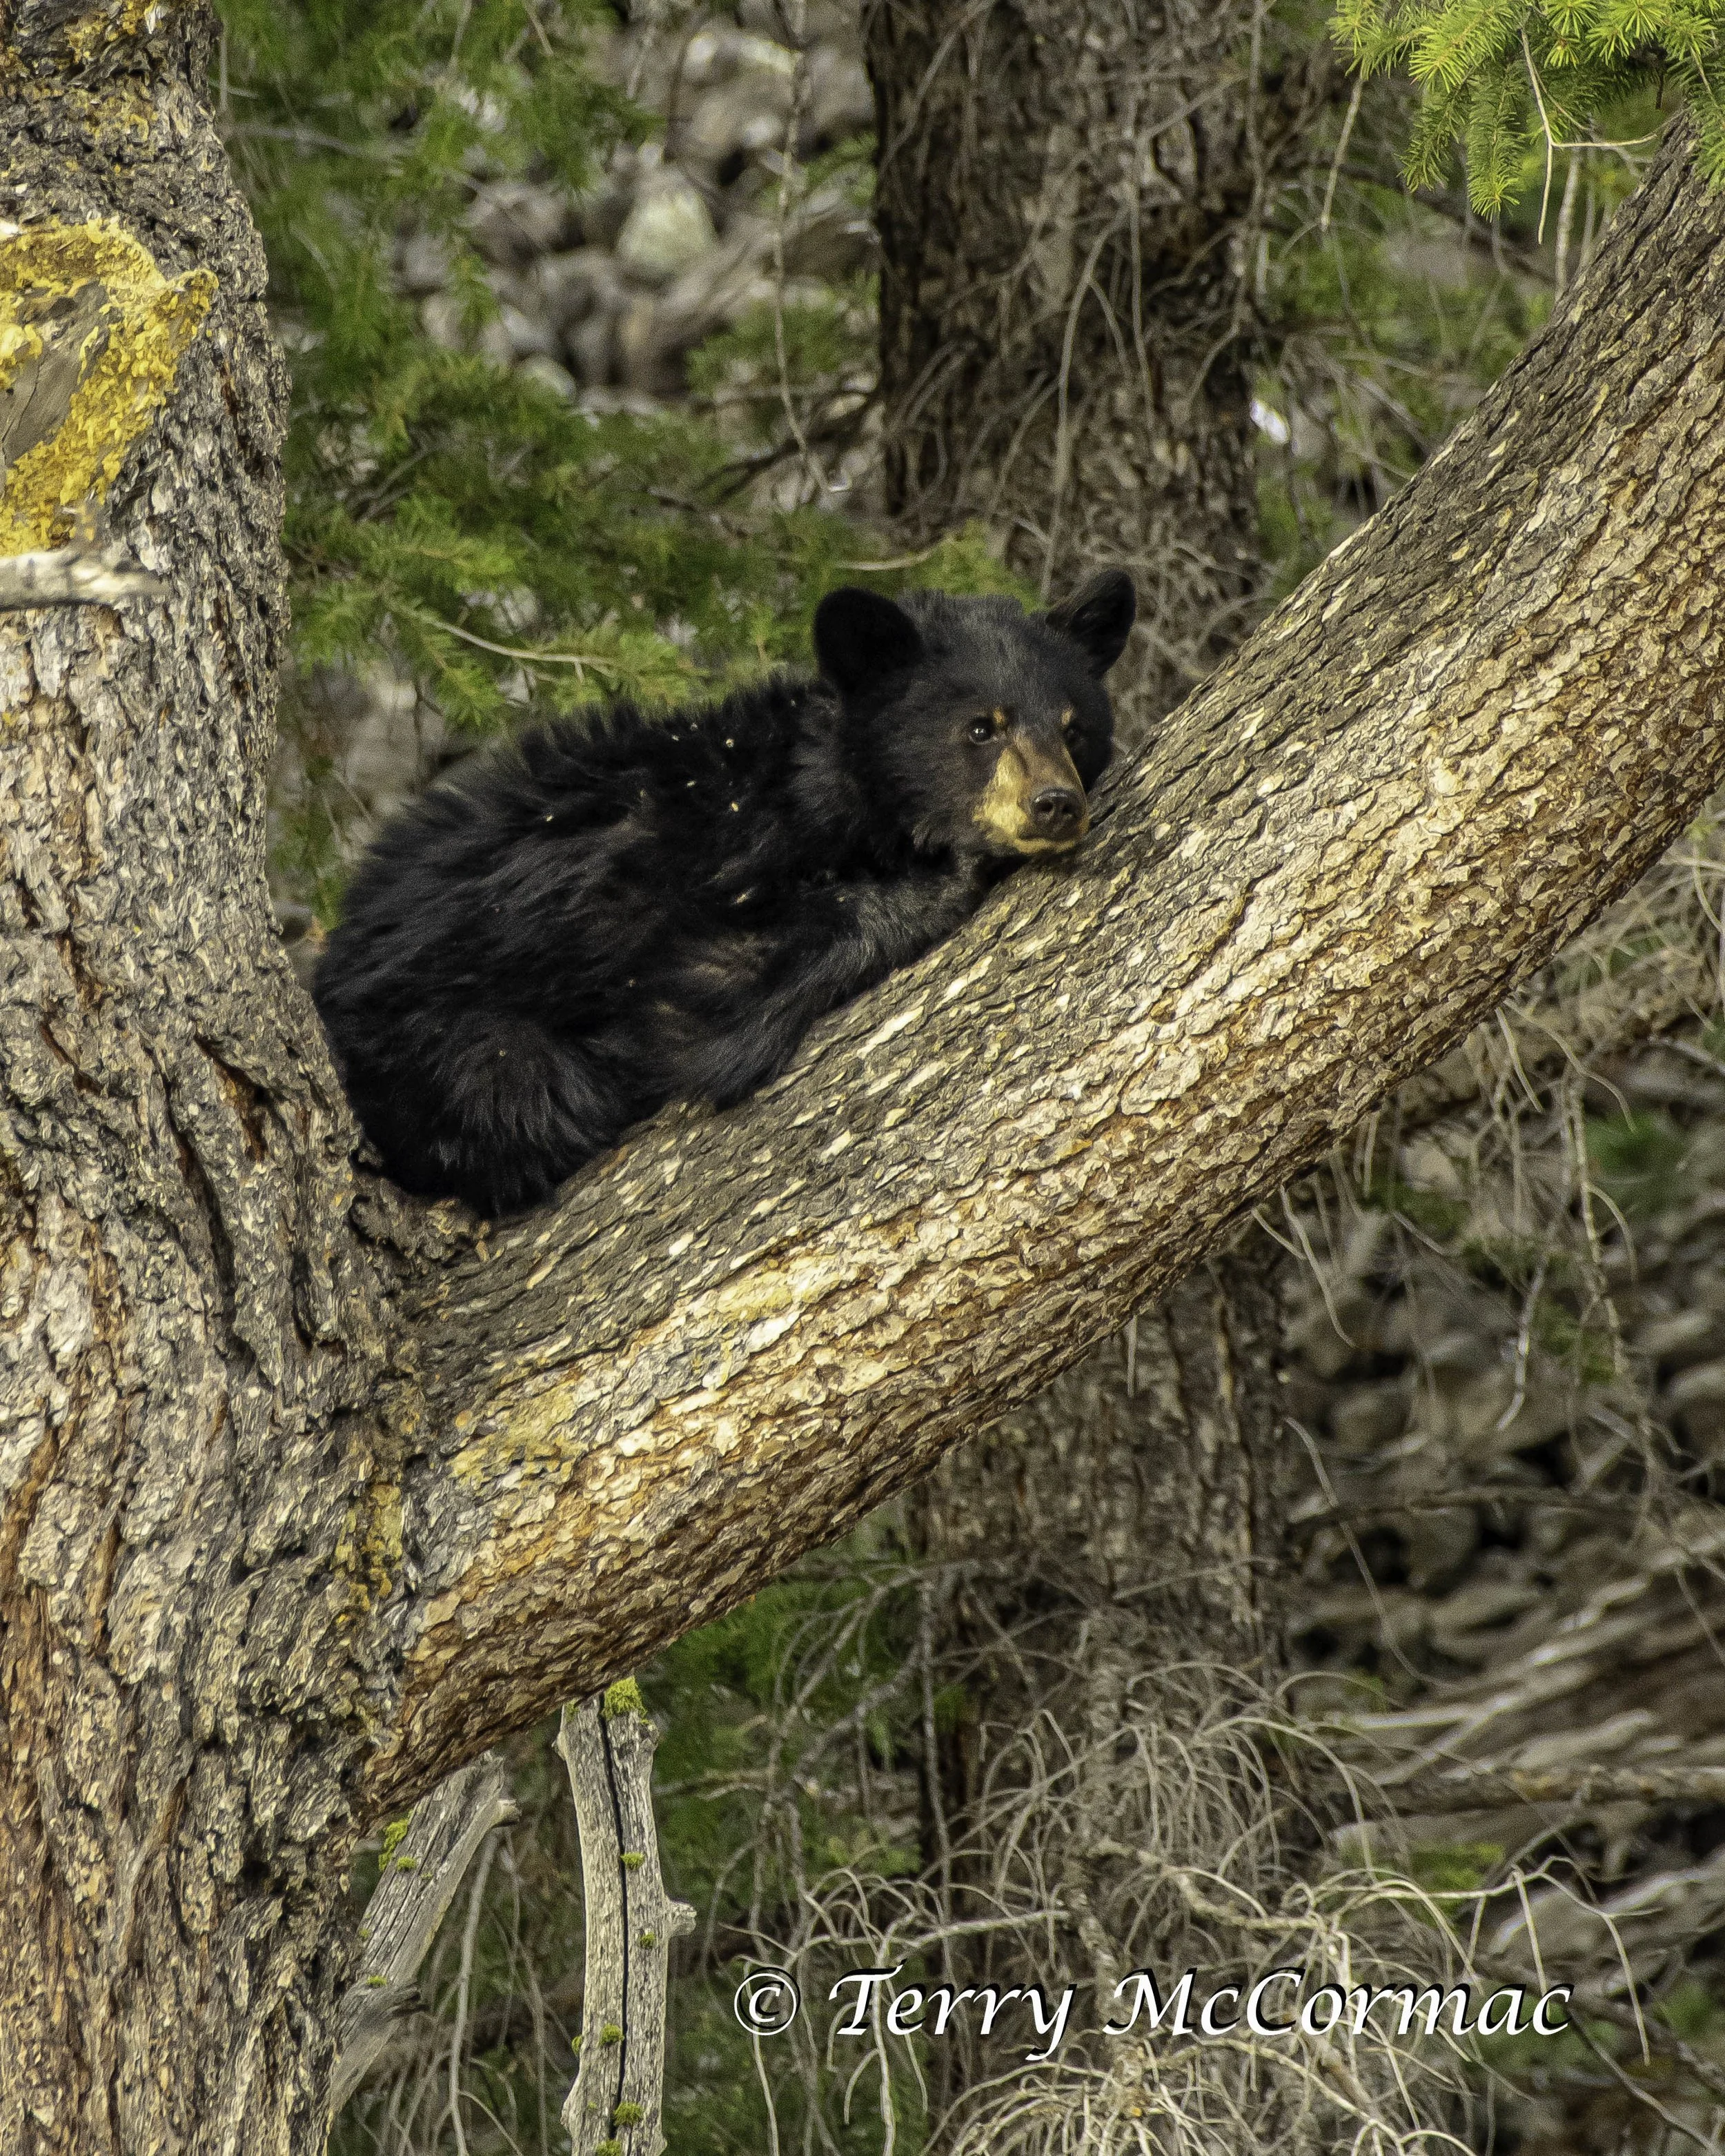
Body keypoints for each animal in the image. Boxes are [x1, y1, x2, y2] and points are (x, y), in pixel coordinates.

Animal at [312, 570, 1136, 1215]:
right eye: (980, 728)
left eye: (1074, 727)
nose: (1055, 803)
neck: (821, 790)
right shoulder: (685, 893)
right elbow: (695, 1005)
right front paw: (942, 875)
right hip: (448, 1050)